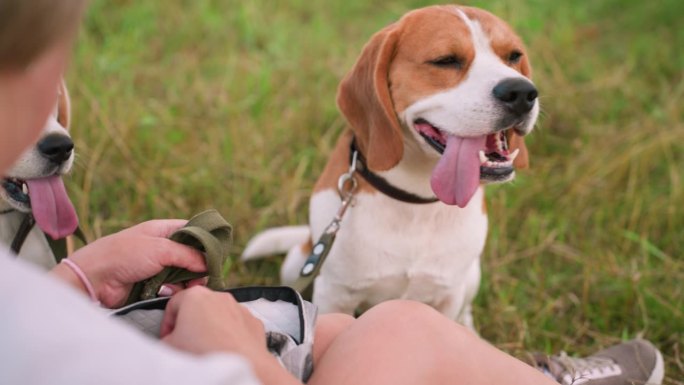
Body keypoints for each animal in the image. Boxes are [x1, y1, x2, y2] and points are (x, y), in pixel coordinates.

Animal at [244, 4, 540, 326]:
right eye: (446, 60)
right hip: (297, 262)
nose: (522, 92)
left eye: (514, 56)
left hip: (470, 276)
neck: (414, 200)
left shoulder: (448, 296)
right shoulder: (334, 295)